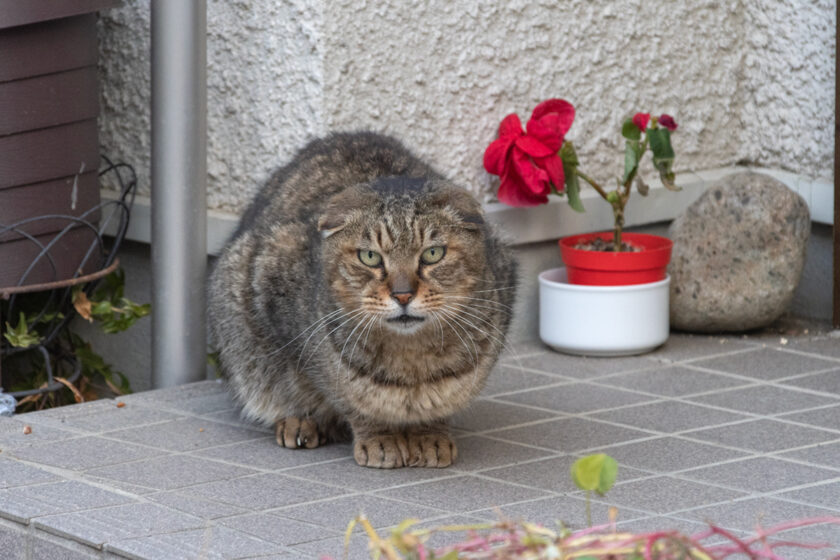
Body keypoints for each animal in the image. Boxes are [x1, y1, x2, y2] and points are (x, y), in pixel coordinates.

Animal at [207, 132, 516, 468]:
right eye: (370, 257)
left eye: (433, 254)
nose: (403, 294)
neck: (410, 360)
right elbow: (349, 398)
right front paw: (380, 438)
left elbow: (437, 407)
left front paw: (430, 435)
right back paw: (298, 423)